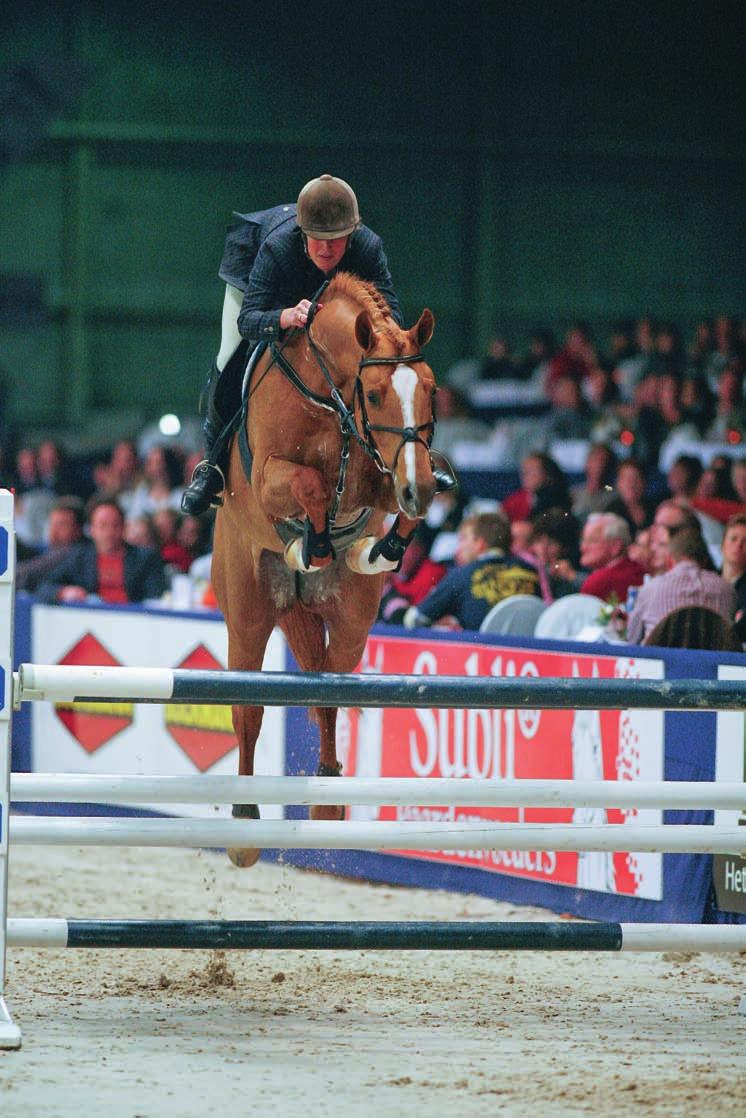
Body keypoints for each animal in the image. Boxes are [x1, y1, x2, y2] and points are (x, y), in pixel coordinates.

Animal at [210, 270, 440, 863]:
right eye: (376, 394)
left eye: (430, 389)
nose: (418, 490)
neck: (329, 397)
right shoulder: (271, 477)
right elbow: (309, 484)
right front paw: (309, 540)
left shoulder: (378, 474)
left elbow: (393, 497)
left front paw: (384, 545)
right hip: (247, 613)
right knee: (247, 709)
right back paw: (244, 825)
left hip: (353, 617)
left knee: (328, 687)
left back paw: (329, 798)